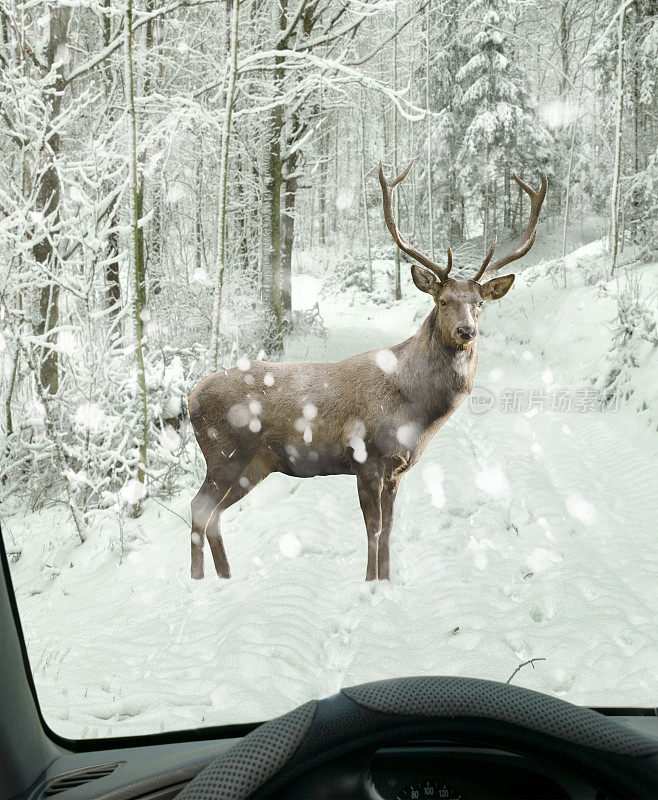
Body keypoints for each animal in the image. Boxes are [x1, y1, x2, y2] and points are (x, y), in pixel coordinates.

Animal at [187, 164, 544, 580]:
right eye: (442, 301)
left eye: (480, 304)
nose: (466, 331)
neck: (415, 411)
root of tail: (190, 397)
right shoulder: (365, 458)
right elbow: (373, 527)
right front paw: (371, 583)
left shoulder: (396, 469)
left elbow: (388, 529)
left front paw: (386, 581)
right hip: (224, 454)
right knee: (199, 508)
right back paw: (198, 582)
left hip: (254, 464)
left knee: (213, 514)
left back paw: (225, 579)